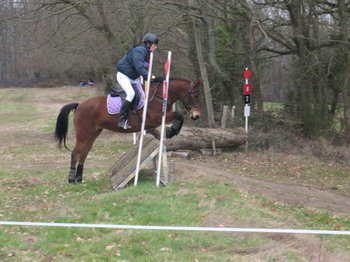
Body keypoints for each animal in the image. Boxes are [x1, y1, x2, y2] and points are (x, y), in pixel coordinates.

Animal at [54, 79, 202, 183]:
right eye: (195, 95)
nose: (197, 115)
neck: (159, 96)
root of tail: (79, 105)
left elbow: (177, 118)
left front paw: (171, 131)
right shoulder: (156, 119)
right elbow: (179, 115)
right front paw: (172, 131)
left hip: (92, 135)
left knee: (84, 154)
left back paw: (79, 178)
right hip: (83, 135)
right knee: (75, 154)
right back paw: (71, 179)